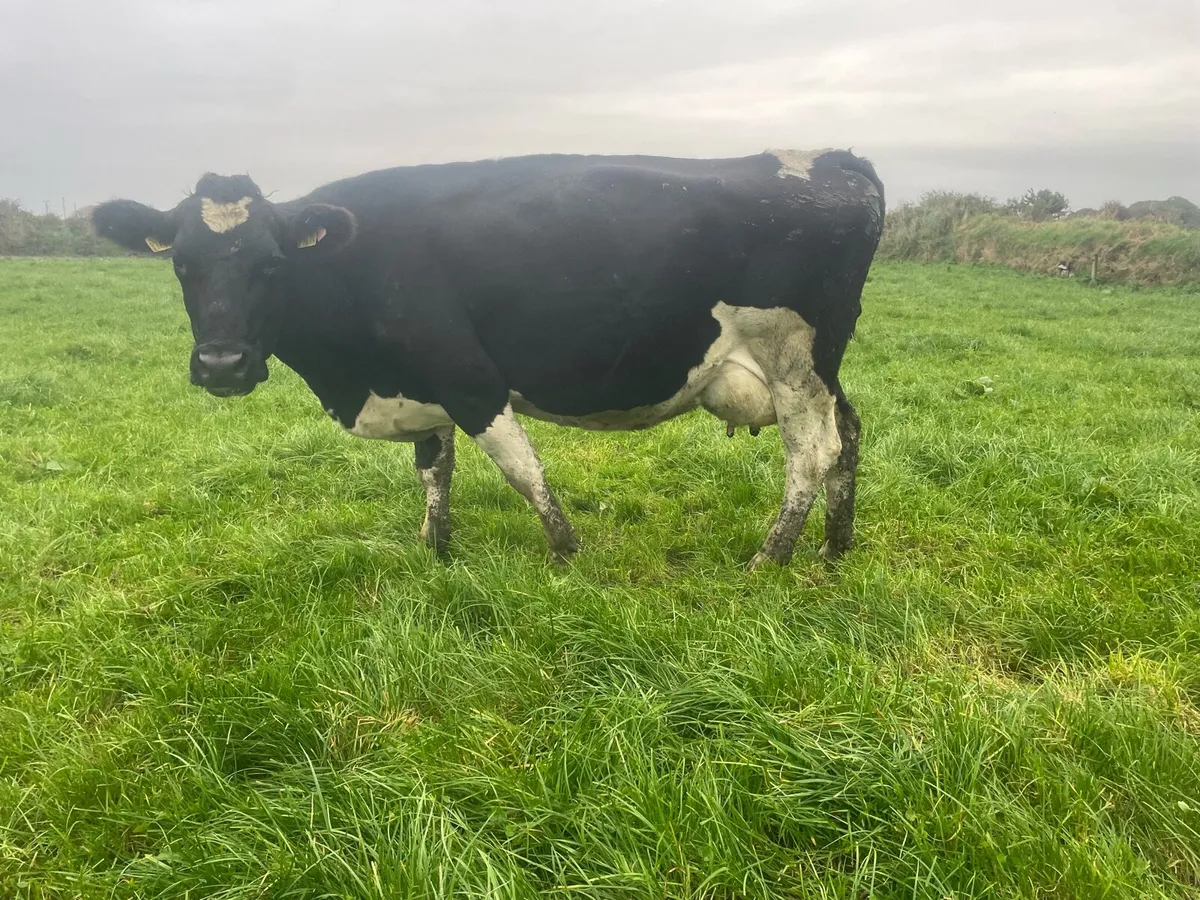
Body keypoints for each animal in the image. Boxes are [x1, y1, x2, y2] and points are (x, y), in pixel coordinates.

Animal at [92, 149, 884, 568]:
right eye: (184, 264)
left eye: (270, 264)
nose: (222, 364)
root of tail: (834, 163)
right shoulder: (421, 387)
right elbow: (434, 470)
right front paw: (436, 549)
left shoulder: (469, 376)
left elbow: (522, 470)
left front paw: (567, 554)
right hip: (820, 368)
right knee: (848, 434)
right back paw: (835, 548)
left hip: (793, 360)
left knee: (809, 453)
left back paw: (770, 557)